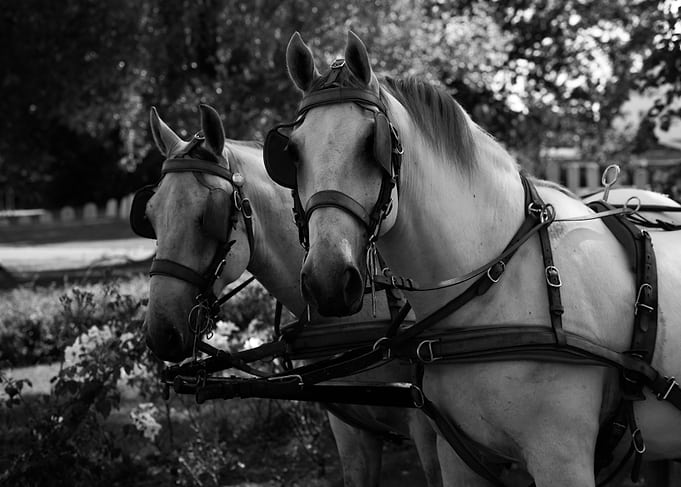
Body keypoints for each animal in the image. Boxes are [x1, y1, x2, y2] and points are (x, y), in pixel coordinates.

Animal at [265, 31, 681, 486]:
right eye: (292, 153)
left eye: (369, 144)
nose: (327, 279)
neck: (498, 286)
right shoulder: (456, 455)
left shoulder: (562, 459)